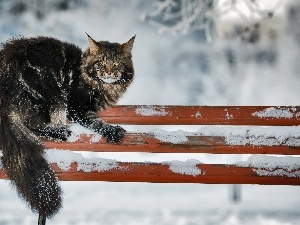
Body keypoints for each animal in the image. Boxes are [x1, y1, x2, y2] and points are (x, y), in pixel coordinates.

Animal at [0, 33, 135, 225]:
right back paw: (60, 131)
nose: (109, 72)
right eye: (101, 63)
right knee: (31, 124)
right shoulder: (76, 107)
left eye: (116, 64)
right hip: (51, 93)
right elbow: (95, 121)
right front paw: (112, 131)